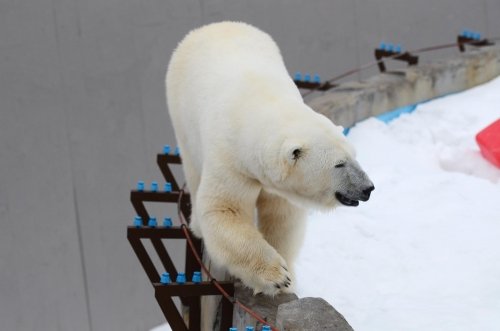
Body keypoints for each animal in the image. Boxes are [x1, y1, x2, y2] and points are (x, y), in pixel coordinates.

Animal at [166, 22, 374, 296]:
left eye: (354, 155)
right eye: (339, 164)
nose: (367, 188)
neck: (259, 101)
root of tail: (210, 27)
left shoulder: (275, 181)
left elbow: (282, 216)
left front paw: (287, 278)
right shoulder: (230, 160)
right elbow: (224, 209)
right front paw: (276, 276)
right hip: (181, 114)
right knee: (192, 167)